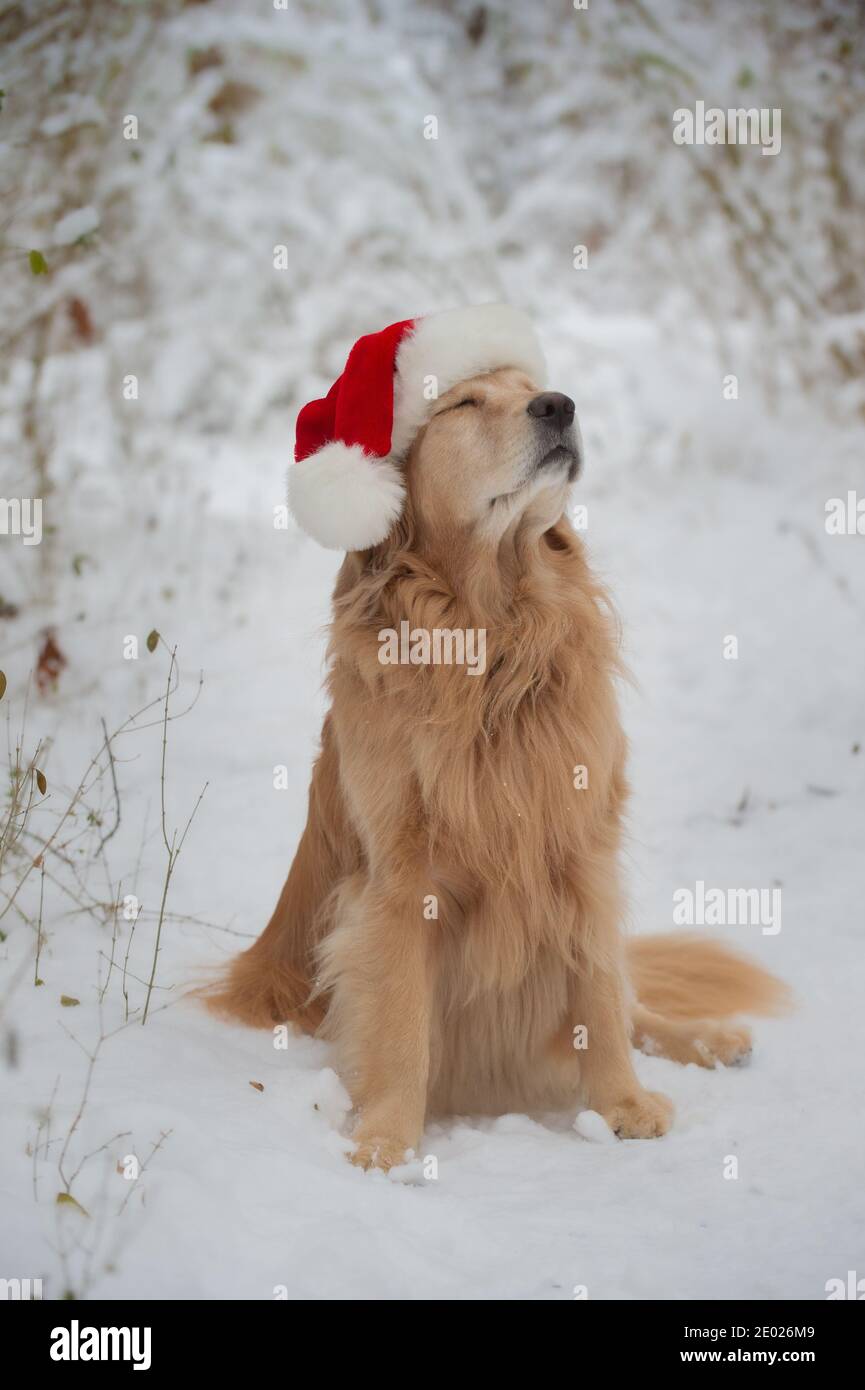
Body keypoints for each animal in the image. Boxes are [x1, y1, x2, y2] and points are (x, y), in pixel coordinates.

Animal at [207, 309, 789, 1167]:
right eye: (464, 404)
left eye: (529, 388)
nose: (561, 405)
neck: (490, 638)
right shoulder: (398, 882)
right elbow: (399, 1021)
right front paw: (387, 1138)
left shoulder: (580, 848)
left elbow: (599, 1001)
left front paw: (621, 1105)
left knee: (629, 1003)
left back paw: (708, 1039)